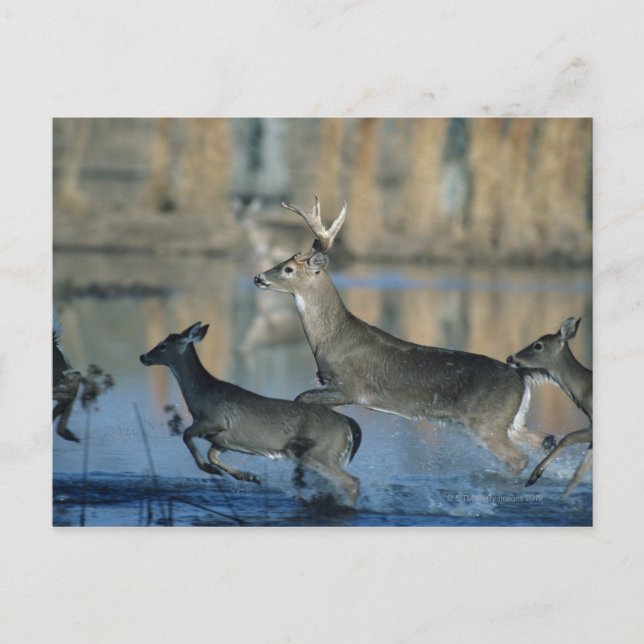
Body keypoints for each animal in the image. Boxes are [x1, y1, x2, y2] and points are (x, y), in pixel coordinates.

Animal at [139, 322, 362, 505]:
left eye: (162, 345)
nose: (143, 356)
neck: (201, 394)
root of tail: (348, 424)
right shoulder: (222, 440)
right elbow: (212, 455)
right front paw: (248, 477)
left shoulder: (216, 421)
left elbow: (186, 435)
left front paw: (210, 470)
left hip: (320, 452)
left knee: (352, 482)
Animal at [254, 196, 555, 475]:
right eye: (282, 262)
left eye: (288, 269)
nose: (258, 278)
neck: (331, 338)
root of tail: (521, 376)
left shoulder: (349, 387)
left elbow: (300, 398)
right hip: (511, 421)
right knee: (546, 440)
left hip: (485, 421)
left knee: (517, 459)